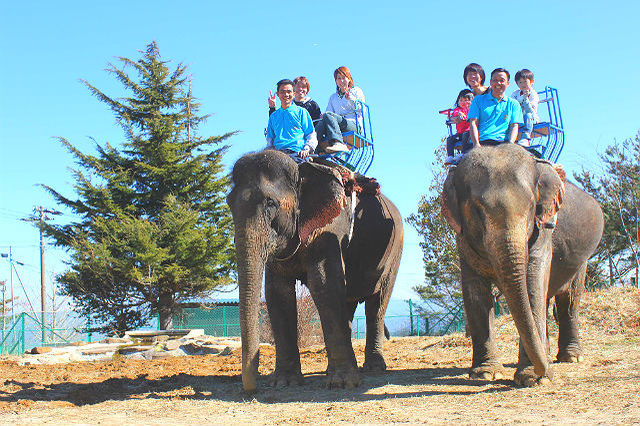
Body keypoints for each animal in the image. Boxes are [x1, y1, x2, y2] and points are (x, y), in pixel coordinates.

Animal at [228, 151, 402, 392]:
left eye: (271, 203)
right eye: (228, 202)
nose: (252, 388)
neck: (301, 171)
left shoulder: (331, 228)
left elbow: (325, 284)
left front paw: (342, 384)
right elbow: (278, 293)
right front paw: (284, 383)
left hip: (394, 252)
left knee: (377, 304)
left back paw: (374, 368)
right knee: (348, 302)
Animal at [442, 143, 604, 386]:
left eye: (530, 206)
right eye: (477, 209)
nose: (545, 373)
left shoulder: (544, 229)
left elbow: (532, 281)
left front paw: (533, 379)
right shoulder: (462, 238)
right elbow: (475, 291)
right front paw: (486, 374)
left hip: (581, 260)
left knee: (569, 300)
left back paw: (570, 358)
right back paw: (548, 354)